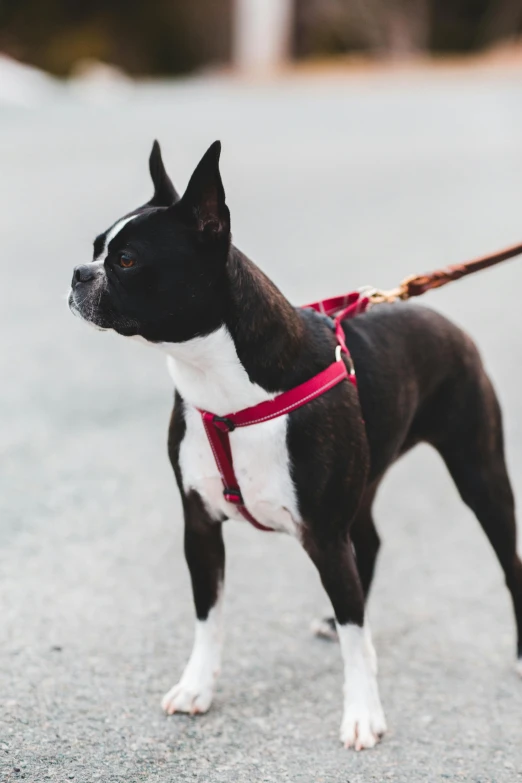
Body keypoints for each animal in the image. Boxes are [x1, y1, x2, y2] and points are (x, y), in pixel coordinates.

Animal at [69, 141, 520, 752]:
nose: (77, 273)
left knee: (506, 560)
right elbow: (208, 614)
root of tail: (436, 312)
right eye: (97, 248)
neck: (224, 385)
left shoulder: (323, 534)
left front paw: (362, 713)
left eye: (127, 261)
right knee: (368, 543)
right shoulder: (200, 526)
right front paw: (197, 686)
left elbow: (356, 634)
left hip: (480, 473)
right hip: (367, 480)